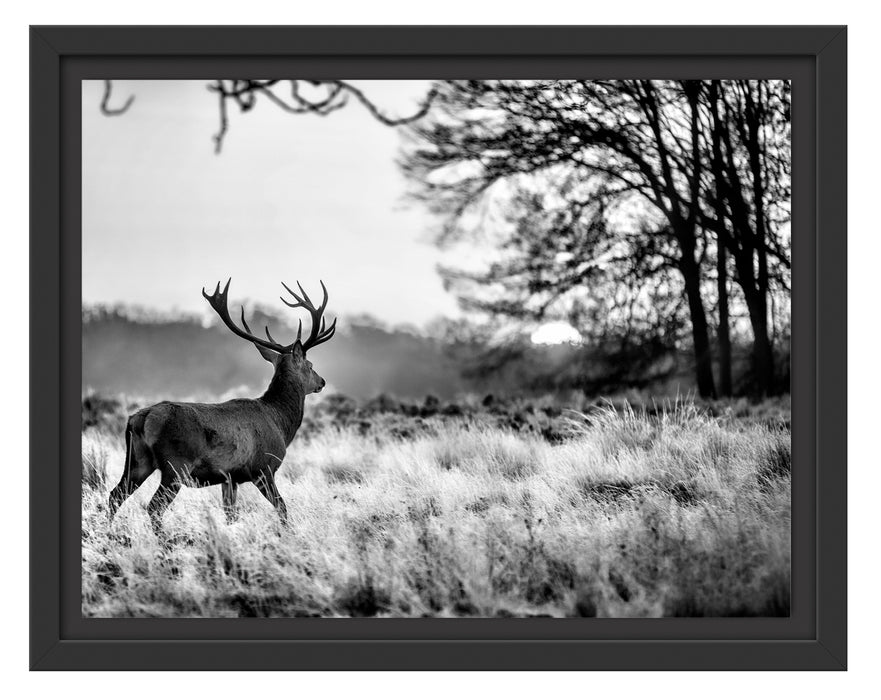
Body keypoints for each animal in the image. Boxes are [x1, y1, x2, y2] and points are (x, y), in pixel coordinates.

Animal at [106, 278, 334, 532]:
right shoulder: (263, 468)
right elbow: (282, 508)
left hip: (137, 461)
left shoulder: (230, 478)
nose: (322, 381)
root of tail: (140, 419)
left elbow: (231, 515)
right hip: (175, 465)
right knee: (154, 506)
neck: (280, 422)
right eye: (310, 365)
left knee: (115, 495)